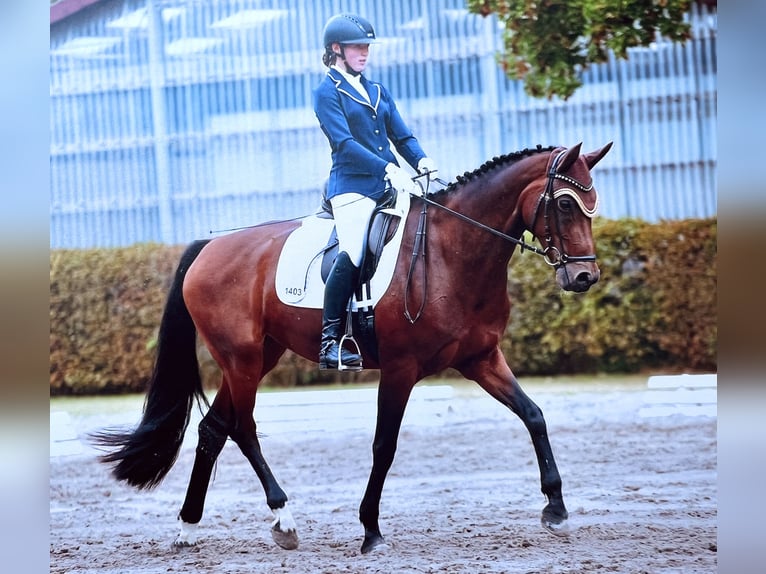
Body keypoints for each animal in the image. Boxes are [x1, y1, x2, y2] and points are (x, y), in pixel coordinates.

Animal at [94, 142, 612, 556]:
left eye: (592, 204)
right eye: (565, 204)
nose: (584, 277)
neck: (452, 252)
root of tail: (208, 247)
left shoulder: (480, 359)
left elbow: (534, 415)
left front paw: (556, 509)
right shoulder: (401, 369)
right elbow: (385, 445)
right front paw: (370, 530)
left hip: (260, 357)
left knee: (213, 430)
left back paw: (188, 528)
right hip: (241, 360)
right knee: (243, 428)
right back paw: (284, 519)